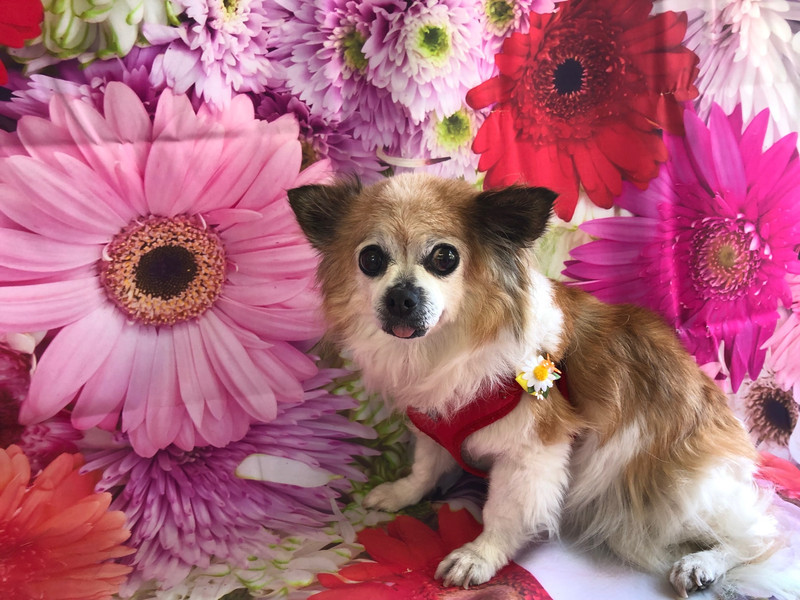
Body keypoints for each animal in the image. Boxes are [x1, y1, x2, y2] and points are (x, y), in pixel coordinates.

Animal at [288, 173, 800, 598]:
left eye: (444, 258)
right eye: (371, 259)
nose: (401, 297)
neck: (445, 346)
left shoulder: (532, 451)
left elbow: (503, 512)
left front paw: (478, 556)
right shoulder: (435, 416)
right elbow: (426, 466)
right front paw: (401, 494)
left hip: (678, 484)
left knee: (759, 535)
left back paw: (702, 564)